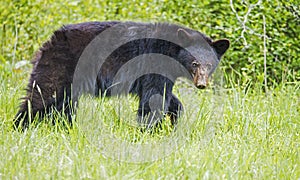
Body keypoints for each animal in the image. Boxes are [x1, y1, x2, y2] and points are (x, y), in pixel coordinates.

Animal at [14, 21, 230, 129]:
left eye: (210, 64)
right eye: (194, 63)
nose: (201, 84)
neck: (172, 50)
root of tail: (50, 40)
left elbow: (168, 98)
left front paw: (175, 119)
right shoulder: (154, 62)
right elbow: (154, 98)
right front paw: (150, 131)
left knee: (63, 104)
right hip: (61, 65)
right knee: (42, 95)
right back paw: (20, 127)